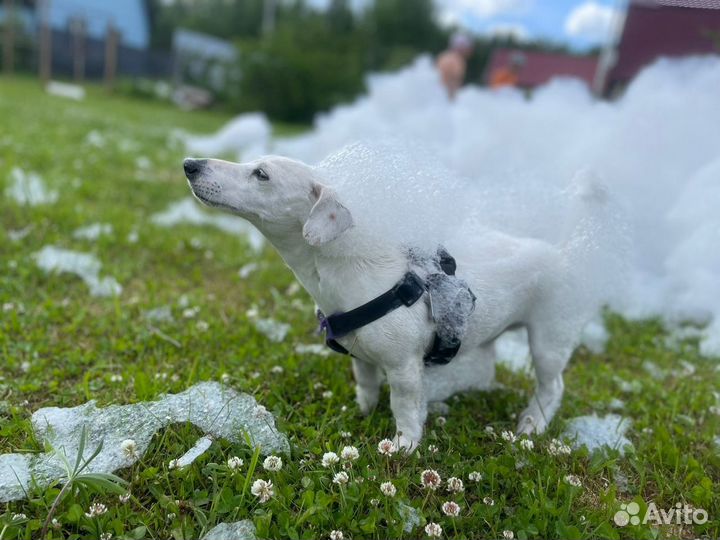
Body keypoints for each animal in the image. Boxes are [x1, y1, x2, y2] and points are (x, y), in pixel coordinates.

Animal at [184, 154, 608, 450]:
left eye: (262, 174)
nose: (190, 164)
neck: (345, 272)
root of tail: (567, 258)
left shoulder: (404, 368)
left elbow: (403, 406)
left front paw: (404, 444)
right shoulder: (362, 360)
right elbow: (367, 387)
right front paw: (363, 413)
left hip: (550, 339)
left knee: (552, 386)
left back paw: (533, 423)